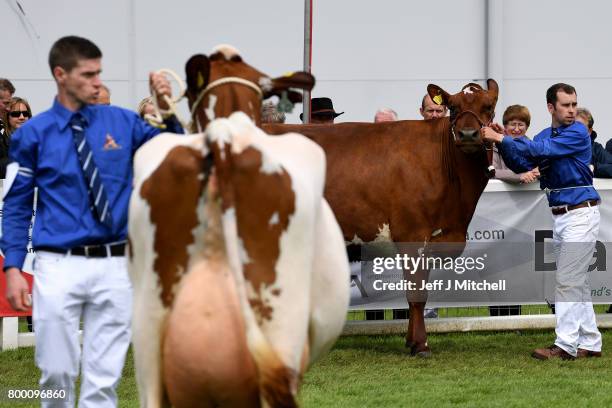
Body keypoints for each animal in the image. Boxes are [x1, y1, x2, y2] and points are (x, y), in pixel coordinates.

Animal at [266, 78, 500, 356]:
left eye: (488, 106)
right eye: (453, 107)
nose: (468, 134)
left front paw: (410, 340)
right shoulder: (413, 235)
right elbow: (417, 296)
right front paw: (420, 345)